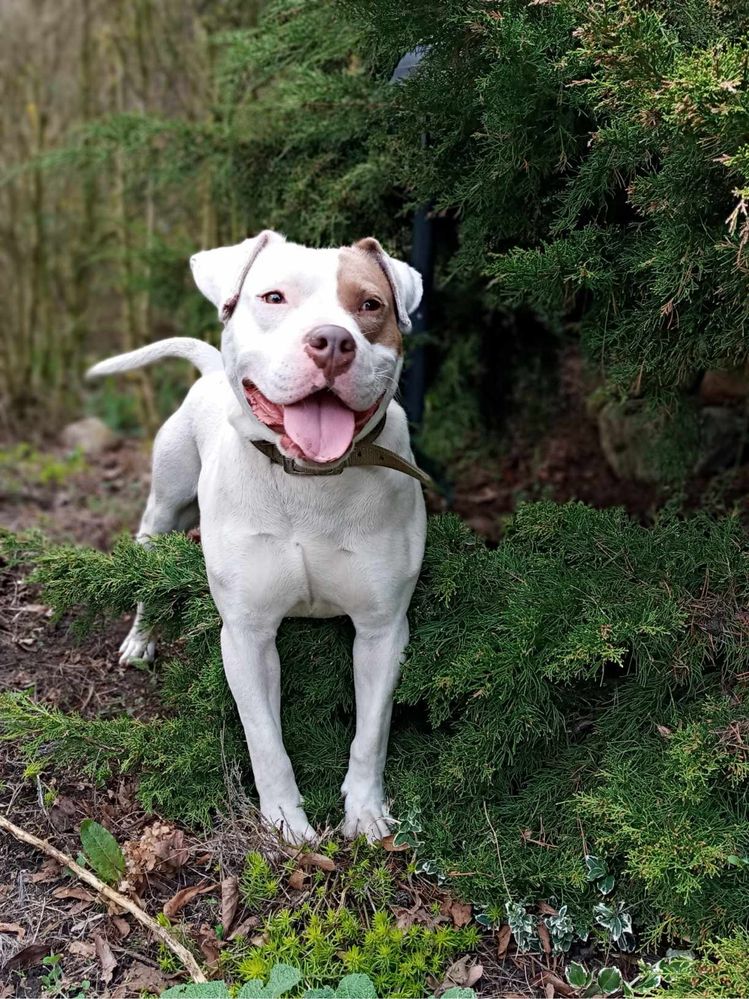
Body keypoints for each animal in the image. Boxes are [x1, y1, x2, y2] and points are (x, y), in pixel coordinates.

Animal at [87, 232, 426, 844]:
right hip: (163, 509)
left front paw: (365, 813)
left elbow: (371, 734)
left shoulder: (383, 630)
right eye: (273, 297)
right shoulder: (247, 635)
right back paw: (140, 640)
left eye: (370, 305)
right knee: (146, 571)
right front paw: (286, 826)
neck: (312, 481)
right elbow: (266, 741)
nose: (333, 342)